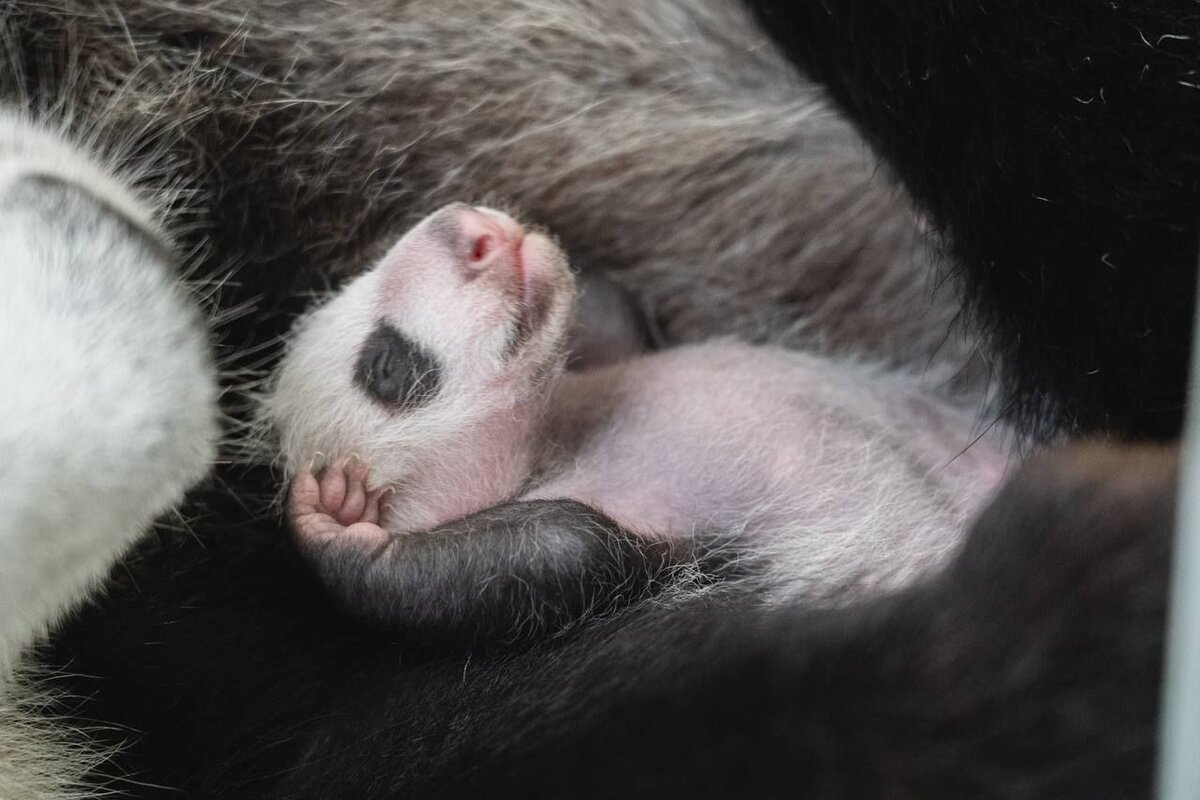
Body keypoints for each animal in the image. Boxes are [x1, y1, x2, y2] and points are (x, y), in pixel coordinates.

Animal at [265, 205, 1012, 642]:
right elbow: (555, 552)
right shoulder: (629, 526)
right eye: (386, 366)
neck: (559, 435)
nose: (473, 229)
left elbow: (607, 311)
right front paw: (332, 524)